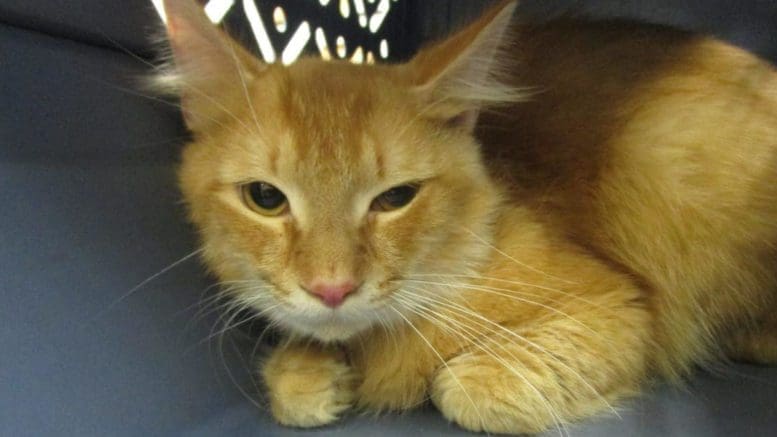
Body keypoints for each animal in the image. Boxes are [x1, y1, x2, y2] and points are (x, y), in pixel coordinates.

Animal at [158, 0, 776, 430]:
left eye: (395, 198)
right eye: (265, 197)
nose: (332, 289)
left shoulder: (619, 307)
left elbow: (460, 387)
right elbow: (295, 379)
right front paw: (309, 374)